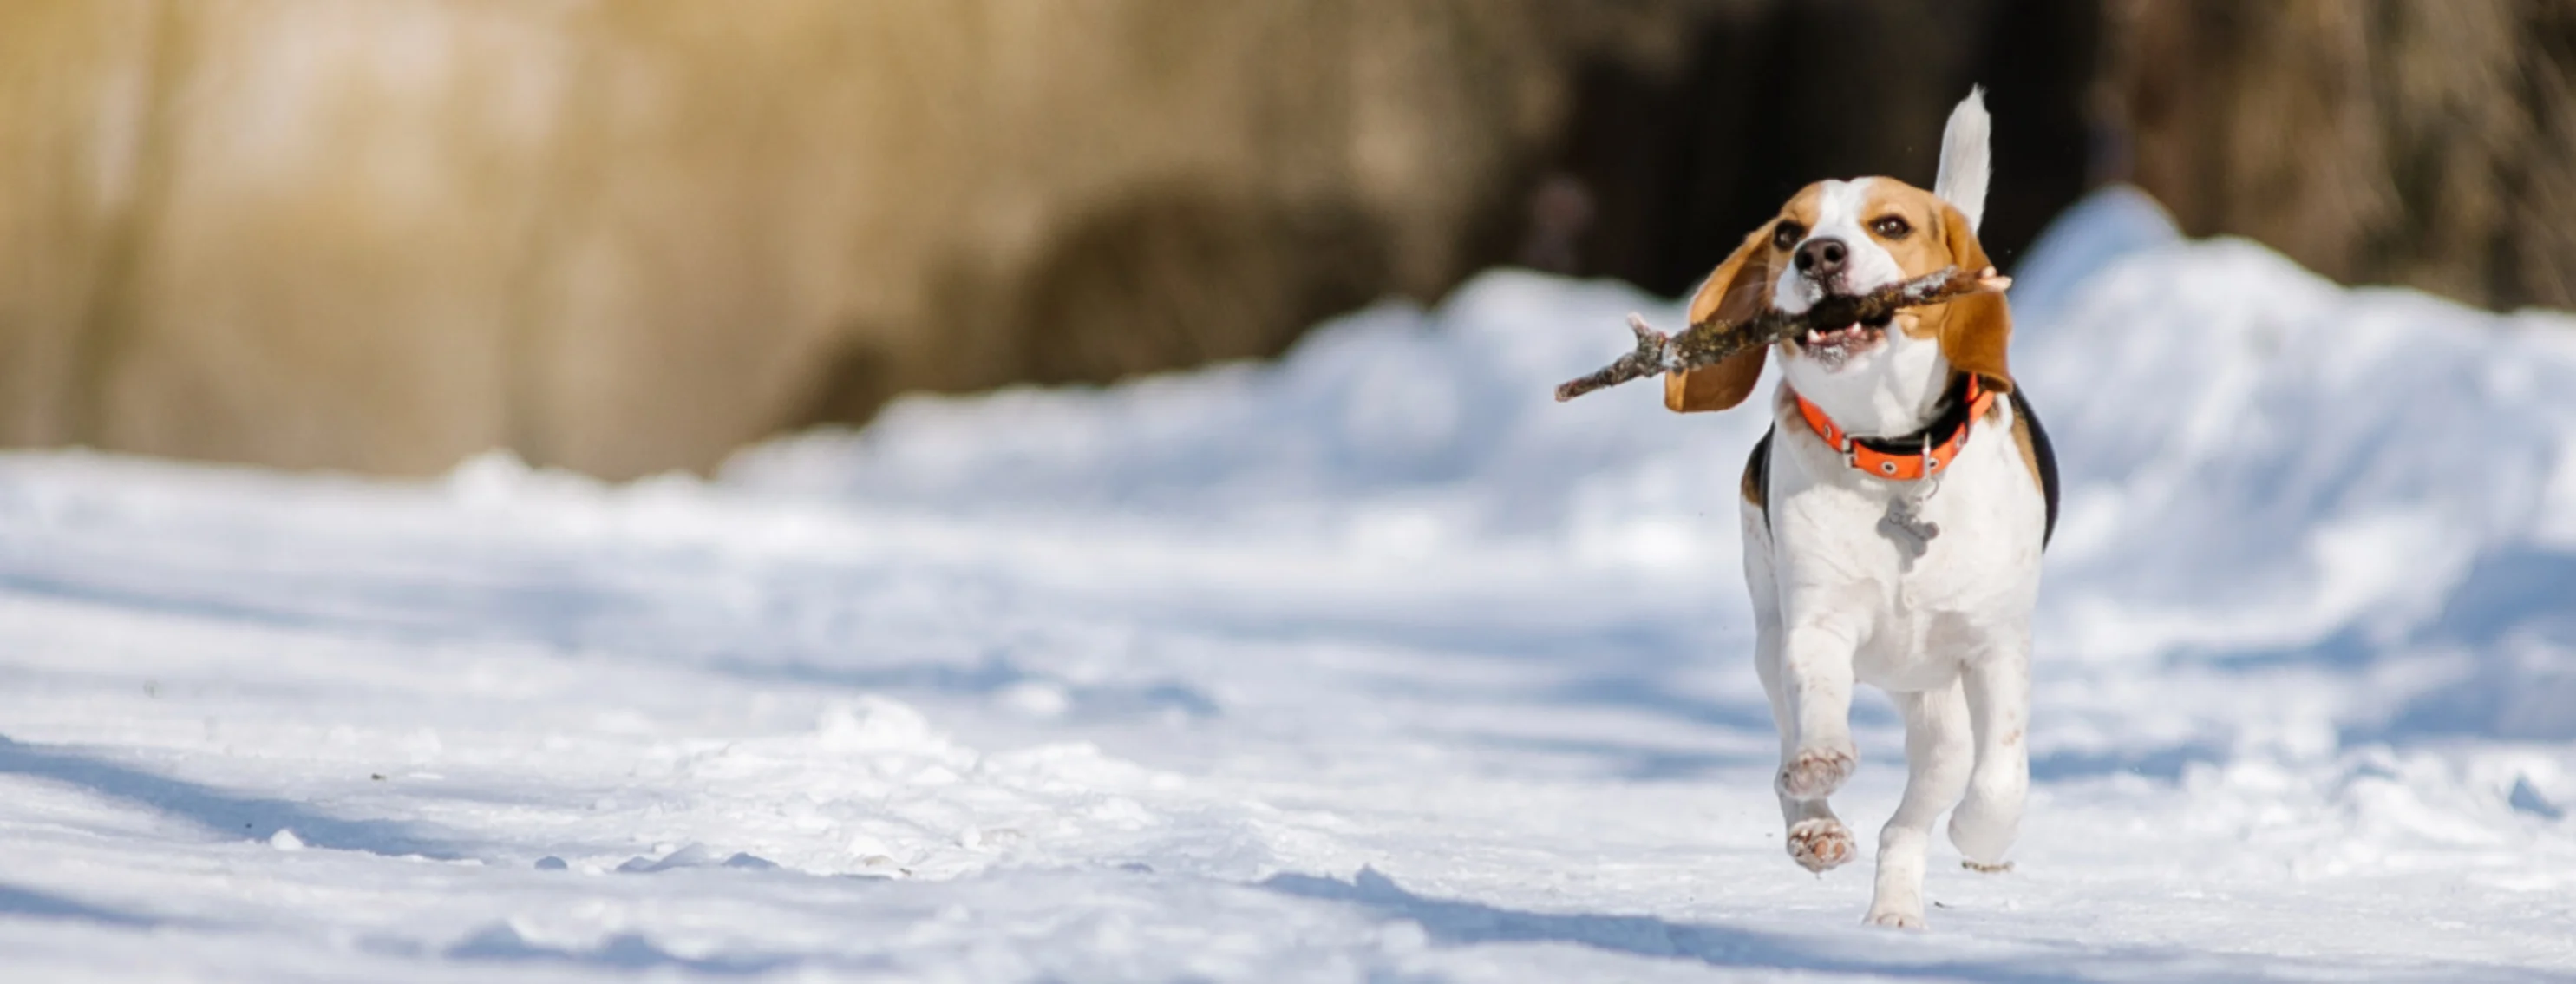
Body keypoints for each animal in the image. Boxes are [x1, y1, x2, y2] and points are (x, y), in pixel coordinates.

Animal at [1669, 86, 2050, 932]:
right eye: (1787, 232)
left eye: (1891, 226)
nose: (1819, 257)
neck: (1891, 458)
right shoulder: (1817, 626)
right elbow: (1817, 715)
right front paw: (1821, 767)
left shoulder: (1994, 645)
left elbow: (2002, 773)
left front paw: (1983, 834)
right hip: (1769, 640)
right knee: (1793, 762)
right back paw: (1816, 826)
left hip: (1938, 710)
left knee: (1916, 812)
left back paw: (1901, 901)